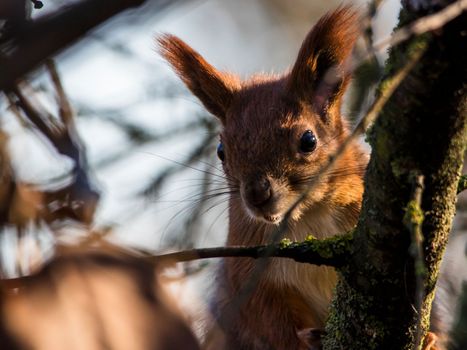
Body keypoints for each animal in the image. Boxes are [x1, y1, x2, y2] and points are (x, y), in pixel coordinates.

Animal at [159, 7, 368, 350]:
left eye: (308, 140)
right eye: (221, 151)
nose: (257, 195)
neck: (307, 217)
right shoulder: (248, 270)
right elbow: (270, 320)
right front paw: (304, 341)